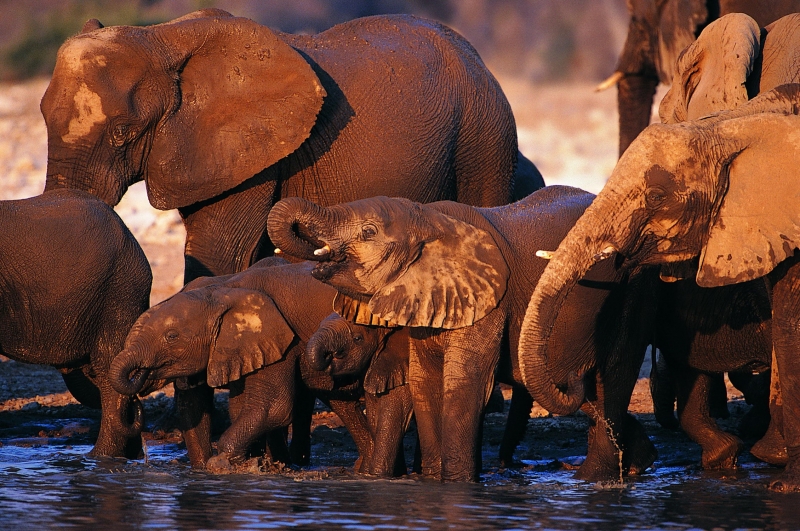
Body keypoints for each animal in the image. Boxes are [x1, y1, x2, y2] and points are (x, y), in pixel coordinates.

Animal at [109, 258, 412, 474]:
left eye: (171, 337)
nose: (139, 380)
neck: (221, 291)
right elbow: (197, 406)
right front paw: (208, 468)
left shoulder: (279, 340)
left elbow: (273, 406)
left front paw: (226, 464)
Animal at [268, 186, 656, 482]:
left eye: (368, 232)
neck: (429, 219)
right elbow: (424, 382)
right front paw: (431, 481)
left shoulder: (490, 301)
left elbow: (463, 382)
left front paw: (457, 485)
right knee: (590, 393)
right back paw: (639, 465)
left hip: (633, 286)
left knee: (614, 376)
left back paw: (595, 478)